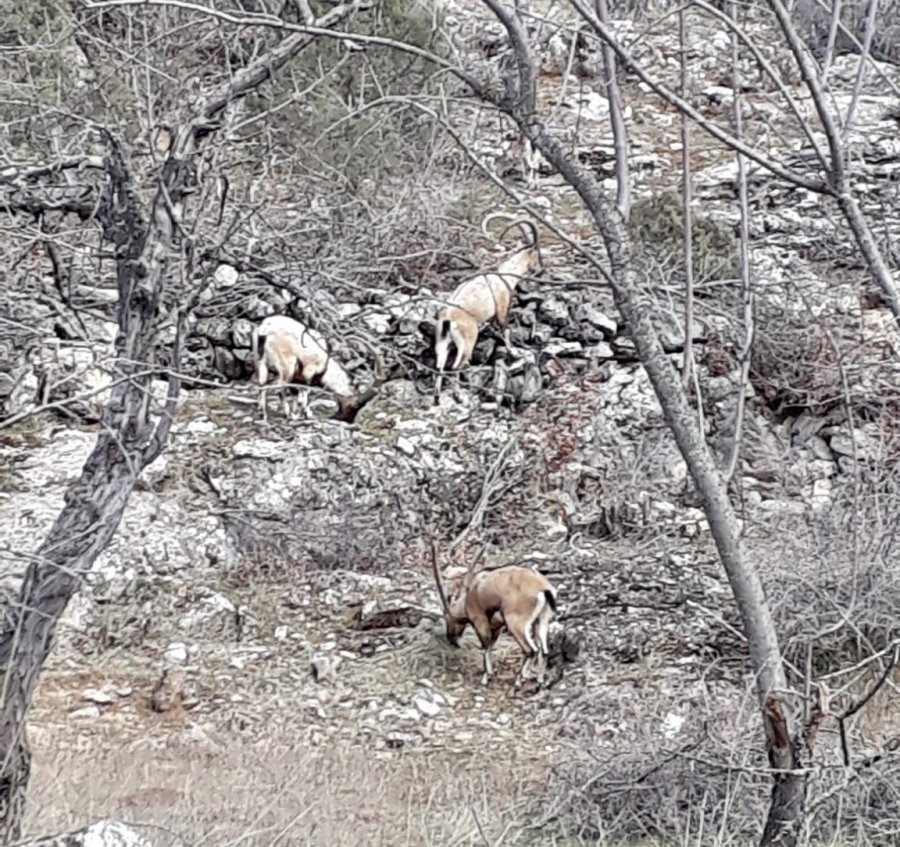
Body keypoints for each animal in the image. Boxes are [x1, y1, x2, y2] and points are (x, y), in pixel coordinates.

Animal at [432, 544, 560, 688]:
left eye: (447, 618)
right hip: (540, 621)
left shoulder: (480, 620)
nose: (450, 638)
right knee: (544, 651)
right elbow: (490, 646)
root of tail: (544, 589)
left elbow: (486, 645)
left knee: (531, 650)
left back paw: (519, 680)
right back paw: (539, 680)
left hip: (516, 624)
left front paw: (486, 677)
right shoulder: (497, 626)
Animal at [434, 210, 540, 400]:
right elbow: (506, 329)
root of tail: (448, 319)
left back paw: (438, 396)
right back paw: (457, 393)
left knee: (440, 365)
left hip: (442, 341)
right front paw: (513, 352)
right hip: (467, 341)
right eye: (537, 254)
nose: (540, 270)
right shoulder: (502, 309)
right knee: (455, 366)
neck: (505, 277)